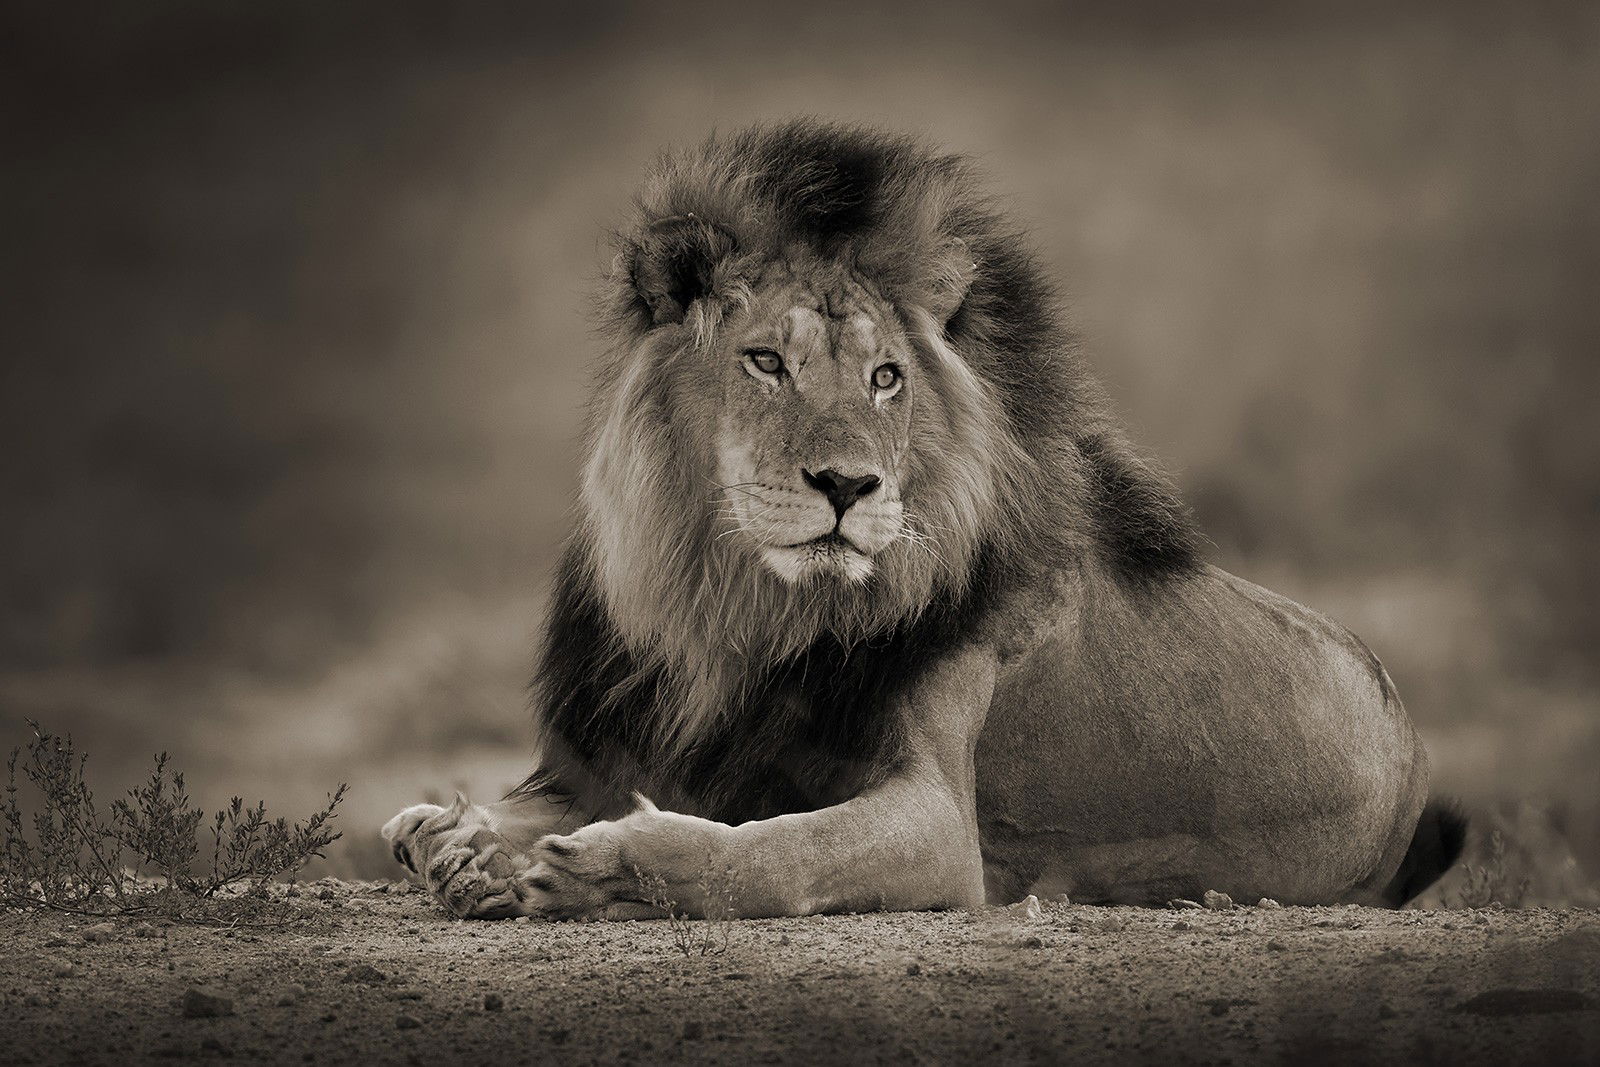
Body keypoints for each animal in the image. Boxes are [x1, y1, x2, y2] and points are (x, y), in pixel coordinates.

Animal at [383, 121, 1465, 919]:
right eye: (764, 360)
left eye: (885, 377)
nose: (847, 484)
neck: (735, 609)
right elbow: (461, 820)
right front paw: (459, 841)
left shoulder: (943, 825)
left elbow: (772, 854)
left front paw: (607, 864)